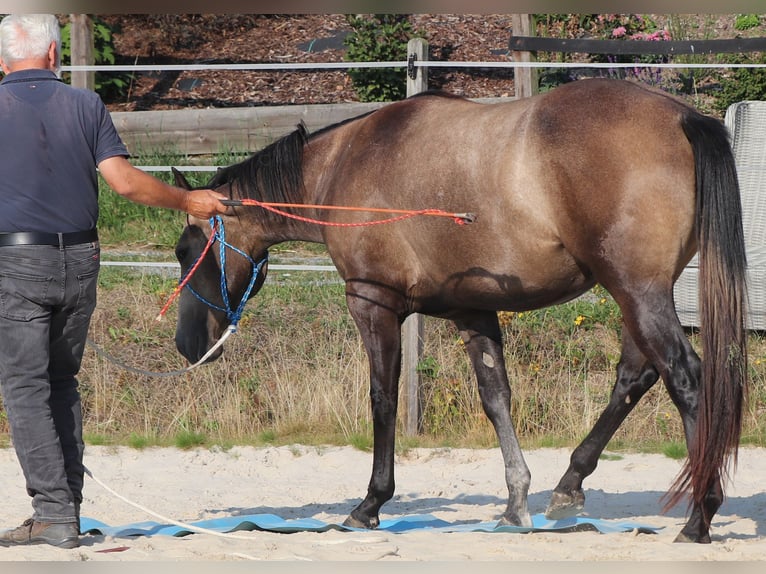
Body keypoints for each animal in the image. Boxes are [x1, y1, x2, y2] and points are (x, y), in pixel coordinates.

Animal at [172, 80, 752, 544]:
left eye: (185, 251)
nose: (186, 344)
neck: (346, 164)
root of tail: (681, 117)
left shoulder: (372, 303)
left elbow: (383, 400)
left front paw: (369, 504)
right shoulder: (474, 311)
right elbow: (496, 399)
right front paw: (515, 505)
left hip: (636, 292)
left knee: (686, 379)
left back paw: (699, 517)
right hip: (640, 295)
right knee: (635, 377)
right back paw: (569, 487)